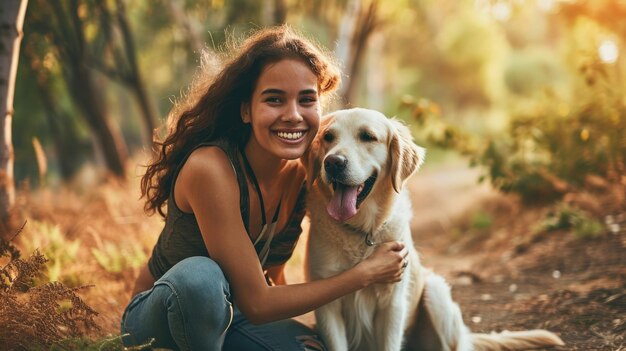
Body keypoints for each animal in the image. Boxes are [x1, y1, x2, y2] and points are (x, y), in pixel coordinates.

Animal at [302, 108, 560, 351]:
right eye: (328, 137)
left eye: (367, 136)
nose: (333, 162)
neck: (361, 230)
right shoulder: (327, 304)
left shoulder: (393, 302)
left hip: (436, 293)